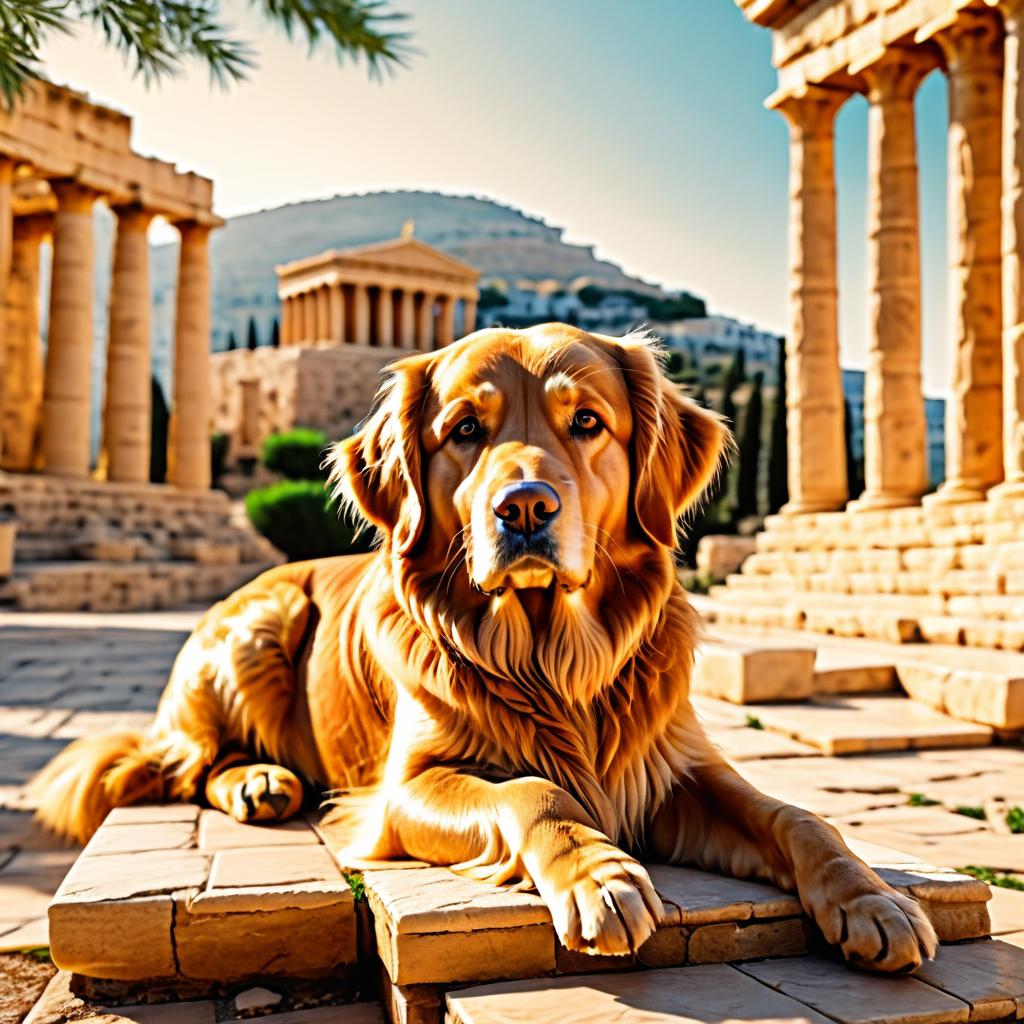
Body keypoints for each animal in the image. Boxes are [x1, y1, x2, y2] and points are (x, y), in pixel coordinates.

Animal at [34, 325, 937, 966]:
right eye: (465, 428)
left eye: (587, 423)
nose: (526, 507)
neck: (549, 654)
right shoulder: (403, 790)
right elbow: (534, 790)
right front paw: (599, 877)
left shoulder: (674, 769)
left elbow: (798, 816)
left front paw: (872, 900)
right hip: (262, 622)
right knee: (188, 763)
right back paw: (260, 778)